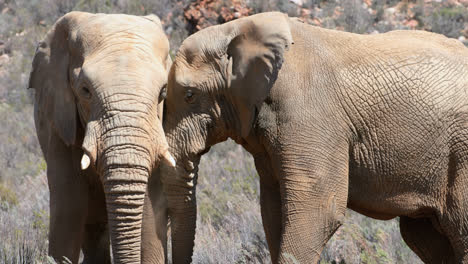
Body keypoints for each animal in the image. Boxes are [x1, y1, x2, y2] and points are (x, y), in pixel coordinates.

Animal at [155, 11, 468, 264]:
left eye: (190, 95)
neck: (237, 30)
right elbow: (273, 210)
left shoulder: (310, 113)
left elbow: (319, 208)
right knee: (425, 237)